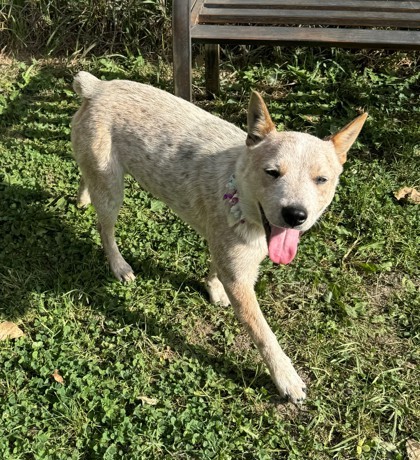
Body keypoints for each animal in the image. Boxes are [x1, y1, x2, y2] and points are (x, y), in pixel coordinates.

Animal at [72, 71, 368, 402]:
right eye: (272, 172)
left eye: (321, 179)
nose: (296, 215)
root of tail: (97, 87)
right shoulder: (241, 281)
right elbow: (265, 335)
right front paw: (286, 378)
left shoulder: (226, 252)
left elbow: (215, 269)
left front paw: (214, 290)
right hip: (112, 190)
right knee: (105, 230)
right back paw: (119, 265)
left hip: (99, 176)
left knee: (86, 179)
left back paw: (83, 198)